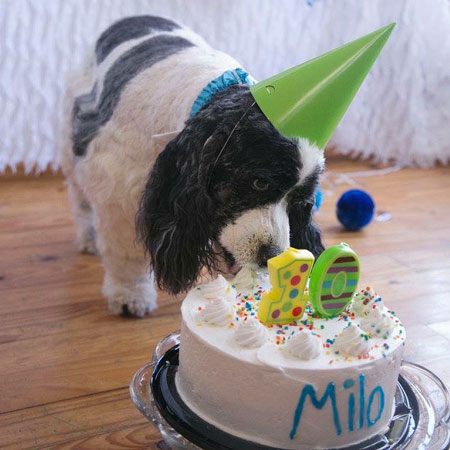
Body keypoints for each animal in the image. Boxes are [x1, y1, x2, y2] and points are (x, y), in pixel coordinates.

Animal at [61, 14, 326, 316]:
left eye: (301, 203)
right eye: (259, 182)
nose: (270, 256)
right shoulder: (118, 187)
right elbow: (125, 253)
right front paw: (130, 296)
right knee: (79, 196)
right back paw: (89, 238)